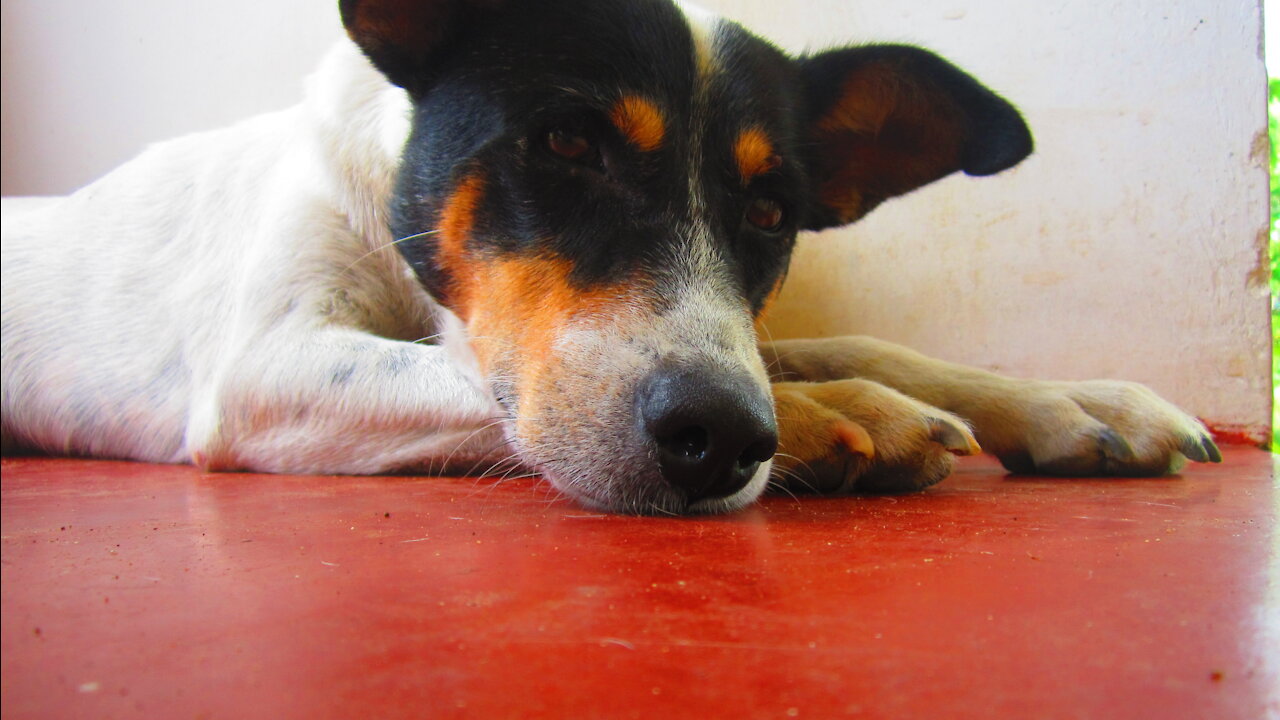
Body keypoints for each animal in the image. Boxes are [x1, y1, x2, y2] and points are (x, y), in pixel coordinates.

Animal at [0, 1, 1218, 515]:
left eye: (771, 208)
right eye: (565, 144)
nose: (725, 435)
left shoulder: (730, 327)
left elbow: (851, 343)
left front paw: (1064, 401)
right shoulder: (265, 365)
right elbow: (481, 379)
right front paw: (830, 417)